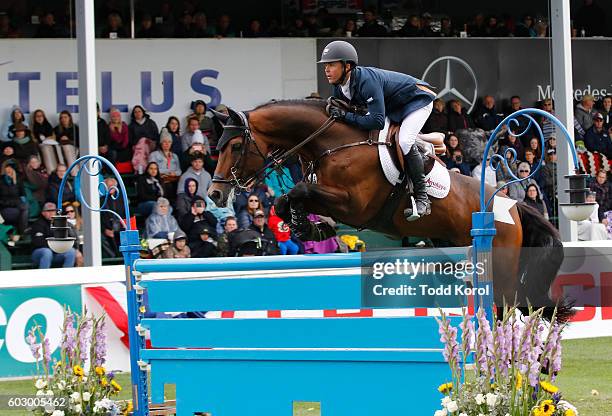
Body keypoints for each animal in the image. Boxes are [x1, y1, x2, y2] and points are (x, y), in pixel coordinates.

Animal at [208, 99, 568, 320]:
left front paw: (310, 224)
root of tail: (512, 205)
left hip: (501, 265)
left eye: (235, 146)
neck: (332, 144)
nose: (215, 193)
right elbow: (289, 198)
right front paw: (307, 226)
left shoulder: (355, 205)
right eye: (217, 147)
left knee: (512, 307)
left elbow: (301, 190)